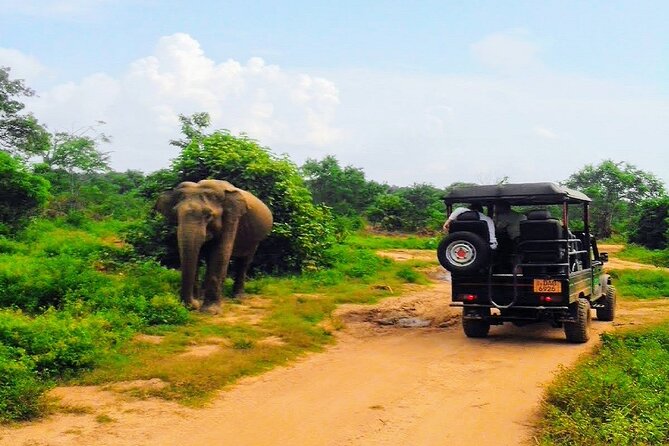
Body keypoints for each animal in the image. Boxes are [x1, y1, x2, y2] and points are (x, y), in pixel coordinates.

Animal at [156, 179, 273, 313]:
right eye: (175, 214)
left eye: (208, 215)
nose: (193, 305)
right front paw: (198, 302)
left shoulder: (232, 216)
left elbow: (220, 252)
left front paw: (209, 311)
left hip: (255, 238)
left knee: (244, 261)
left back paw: (238, 298)